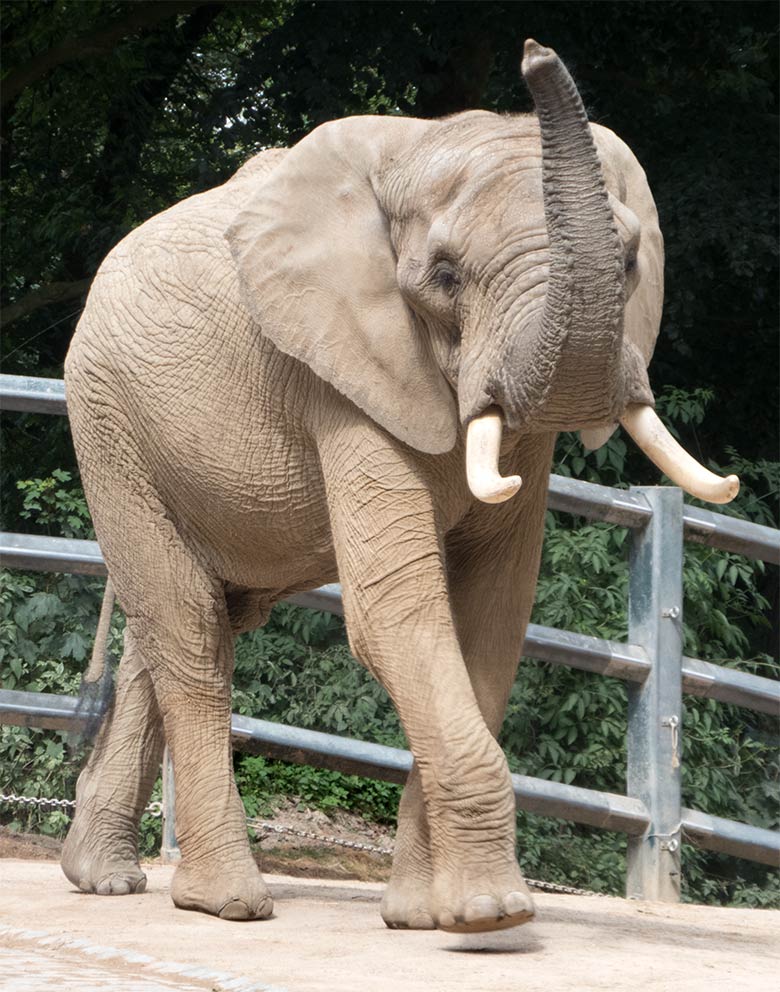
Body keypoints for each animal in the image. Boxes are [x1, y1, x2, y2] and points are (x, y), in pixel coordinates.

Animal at [61, 38, 736, 932]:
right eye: (444, 276)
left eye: (629, 262)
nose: (535, 53)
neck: (433, 141)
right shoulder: (343, 369)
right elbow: (398, 614)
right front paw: (492, 916)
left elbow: (491, 619)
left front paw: (429, 915)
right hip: (107, 421)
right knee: (189, 630)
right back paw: (226, 902)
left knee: (175, 623)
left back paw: (102, 879)